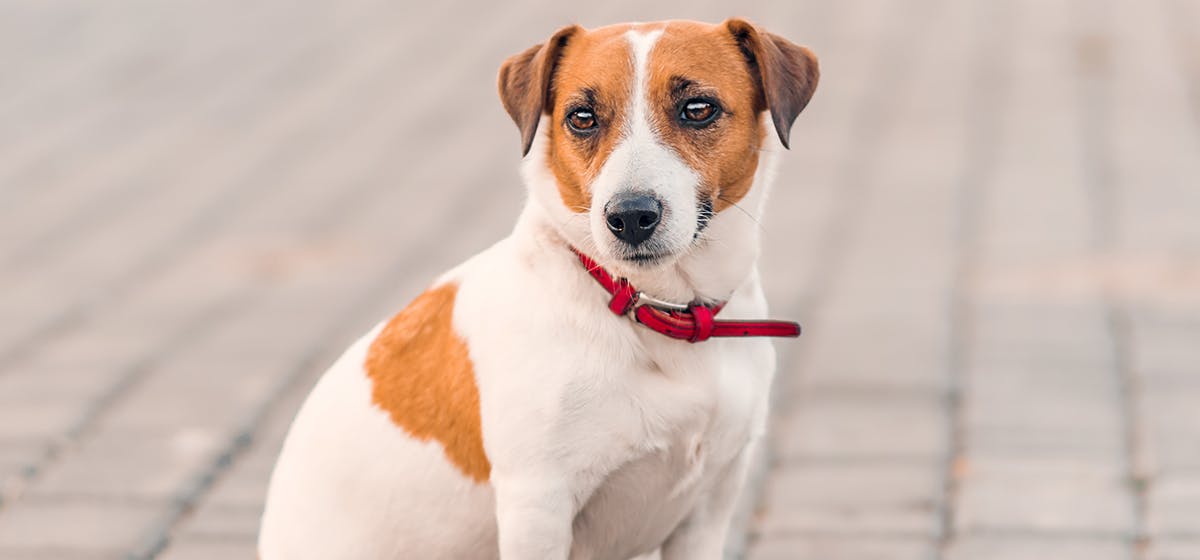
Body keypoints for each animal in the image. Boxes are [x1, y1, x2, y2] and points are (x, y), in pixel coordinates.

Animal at [259, 17, 820, 560]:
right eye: (582, 117)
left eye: (698, 109)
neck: (656, 309)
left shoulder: (707, 508)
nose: (629, 216)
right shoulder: (537, 507)